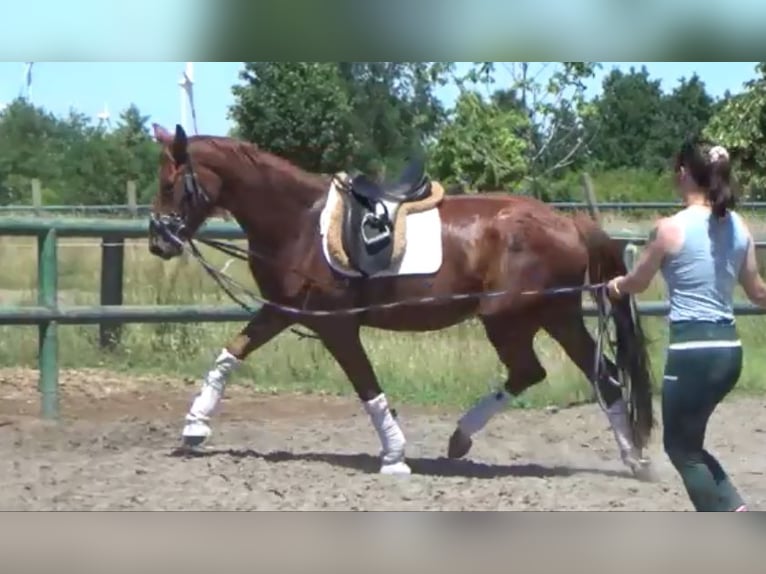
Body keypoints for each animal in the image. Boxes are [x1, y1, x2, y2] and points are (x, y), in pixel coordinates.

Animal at [146, 124, 656, 480]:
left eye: (170, 185)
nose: (159, 242)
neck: (300, 223)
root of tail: (570, 224)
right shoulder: (283, 311)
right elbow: (230, 353)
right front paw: (194, 427)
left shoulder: (335, 325)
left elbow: (367, 386)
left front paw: (394, 455)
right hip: (554, 316)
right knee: (599, 377)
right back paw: (631, 458)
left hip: (511, 317)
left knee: (540, 371)